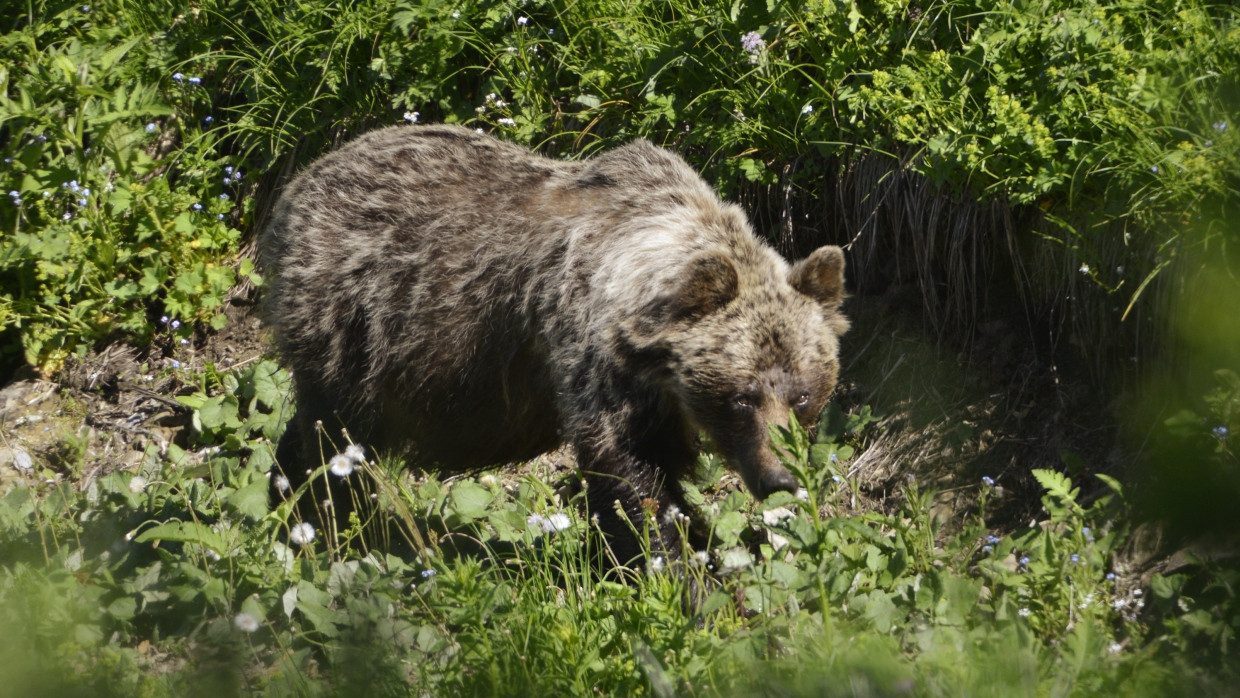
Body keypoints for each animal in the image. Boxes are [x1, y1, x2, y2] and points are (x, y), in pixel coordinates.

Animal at [256, 122, 848, 565]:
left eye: (802, 394)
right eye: (742, 397)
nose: (780, 477)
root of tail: (299, 183)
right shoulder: (592, 355)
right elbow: (631, 475)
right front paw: (680, 571)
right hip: (354, 325)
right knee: (334, 437)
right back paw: (324, 522)